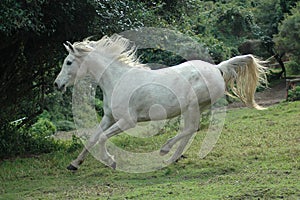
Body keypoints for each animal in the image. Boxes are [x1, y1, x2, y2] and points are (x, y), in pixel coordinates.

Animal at [54, 34, 268, 170]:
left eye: (69, 62)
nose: (57, 84)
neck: (117, 80)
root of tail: (217, 68)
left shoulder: (127, 121)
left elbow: (102, 138)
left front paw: (111, 161)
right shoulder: (109, 117)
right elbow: (92, 138)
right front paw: (74, 164)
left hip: (191, 107)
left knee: (190, 129)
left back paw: (166, 151)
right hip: (195, 108)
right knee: (189, 132)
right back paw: (171, 159)